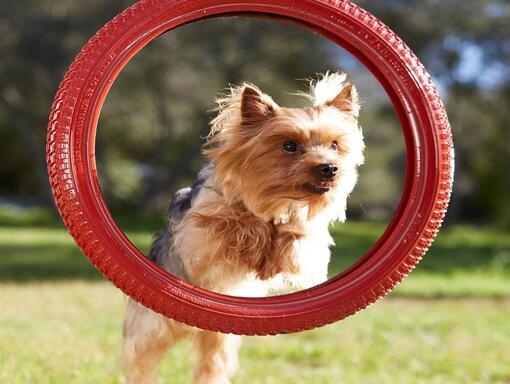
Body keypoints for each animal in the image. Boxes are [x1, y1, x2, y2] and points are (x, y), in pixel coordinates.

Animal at [121, 73, 364, 384]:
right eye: (289, 145)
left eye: (334, 145)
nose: (330, 168)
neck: (275, 200)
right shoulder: (200, 234)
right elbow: (235, 222)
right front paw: (257, 236)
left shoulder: (309, 241)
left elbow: (296, 237)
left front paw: (274, 251)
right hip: (153, 324)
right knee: (142, 356)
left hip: (219, 338)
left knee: (212, 362)